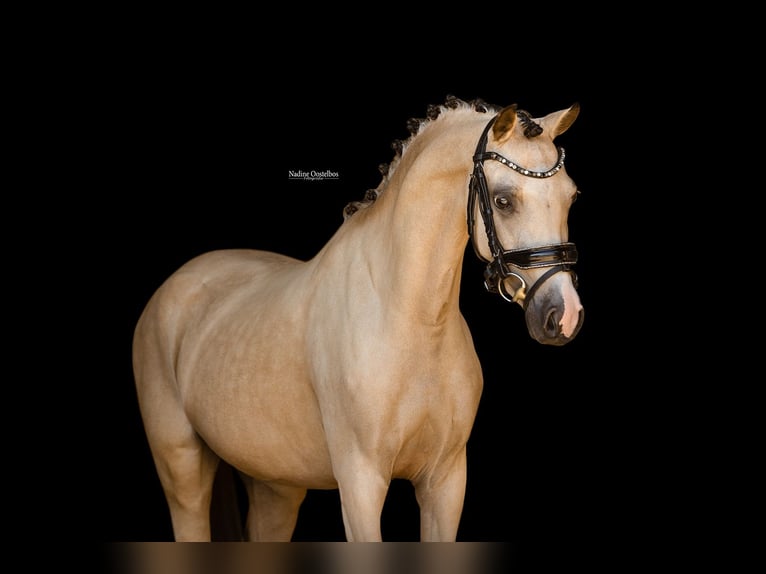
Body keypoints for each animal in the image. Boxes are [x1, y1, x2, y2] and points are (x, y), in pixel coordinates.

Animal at [132, 96, 584, 542]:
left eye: (571, 196)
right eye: (504, 200)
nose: (563, 315)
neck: (410, 322)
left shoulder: (446, 480)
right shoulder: (360, 483)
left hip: (274, 486)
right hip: (182, 470)